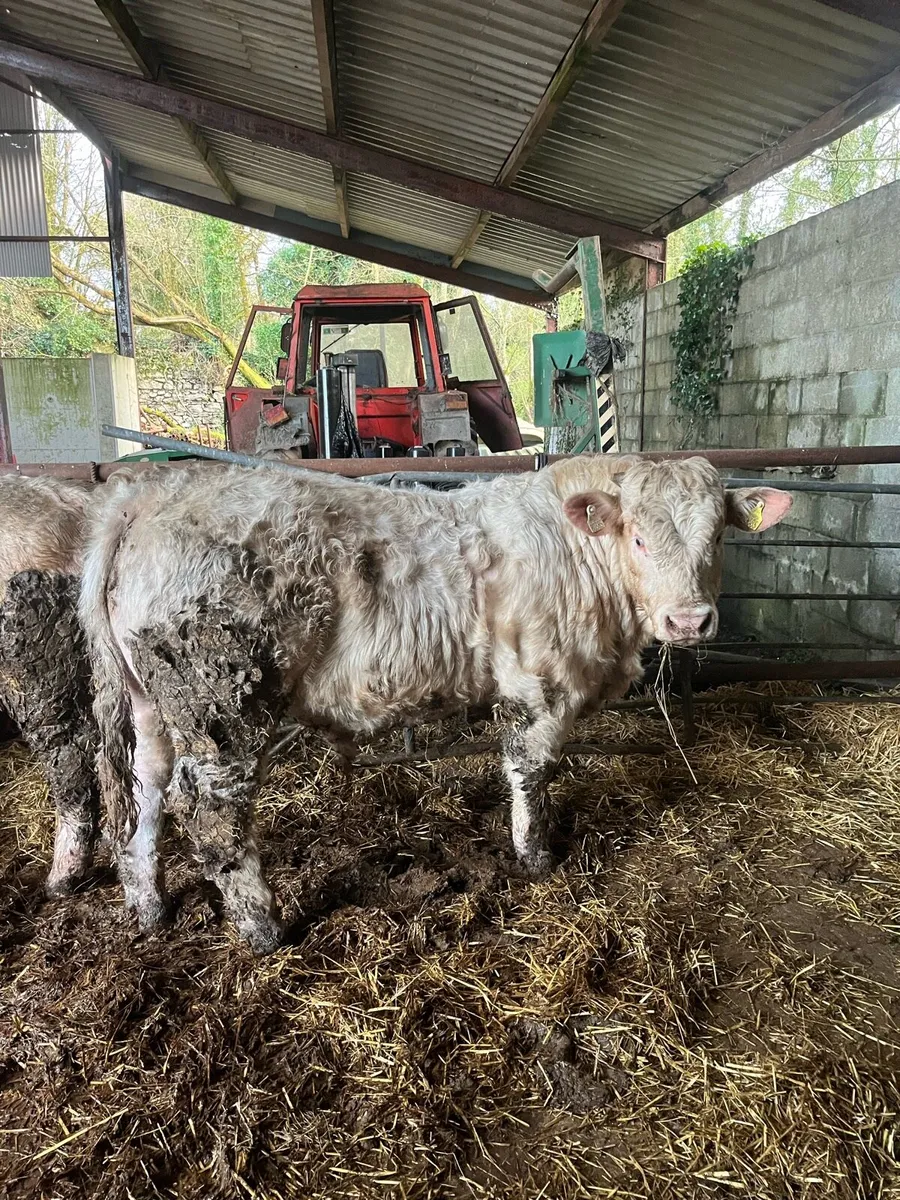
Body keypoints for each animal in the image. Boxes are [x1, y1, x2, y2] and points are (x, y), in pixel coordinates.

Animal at [80, 455, 791, 952]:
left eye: (717, 539)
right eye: (639, 539)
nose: (689, 620)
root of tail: (144, 497)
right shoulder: (540, 681)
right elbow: (531, 769)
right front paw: (536, 857)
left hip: (150, 704)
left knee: (144, 792)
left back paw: (150, 907)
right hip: (221, 703)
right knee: (212, 810)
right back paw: (263, 928)